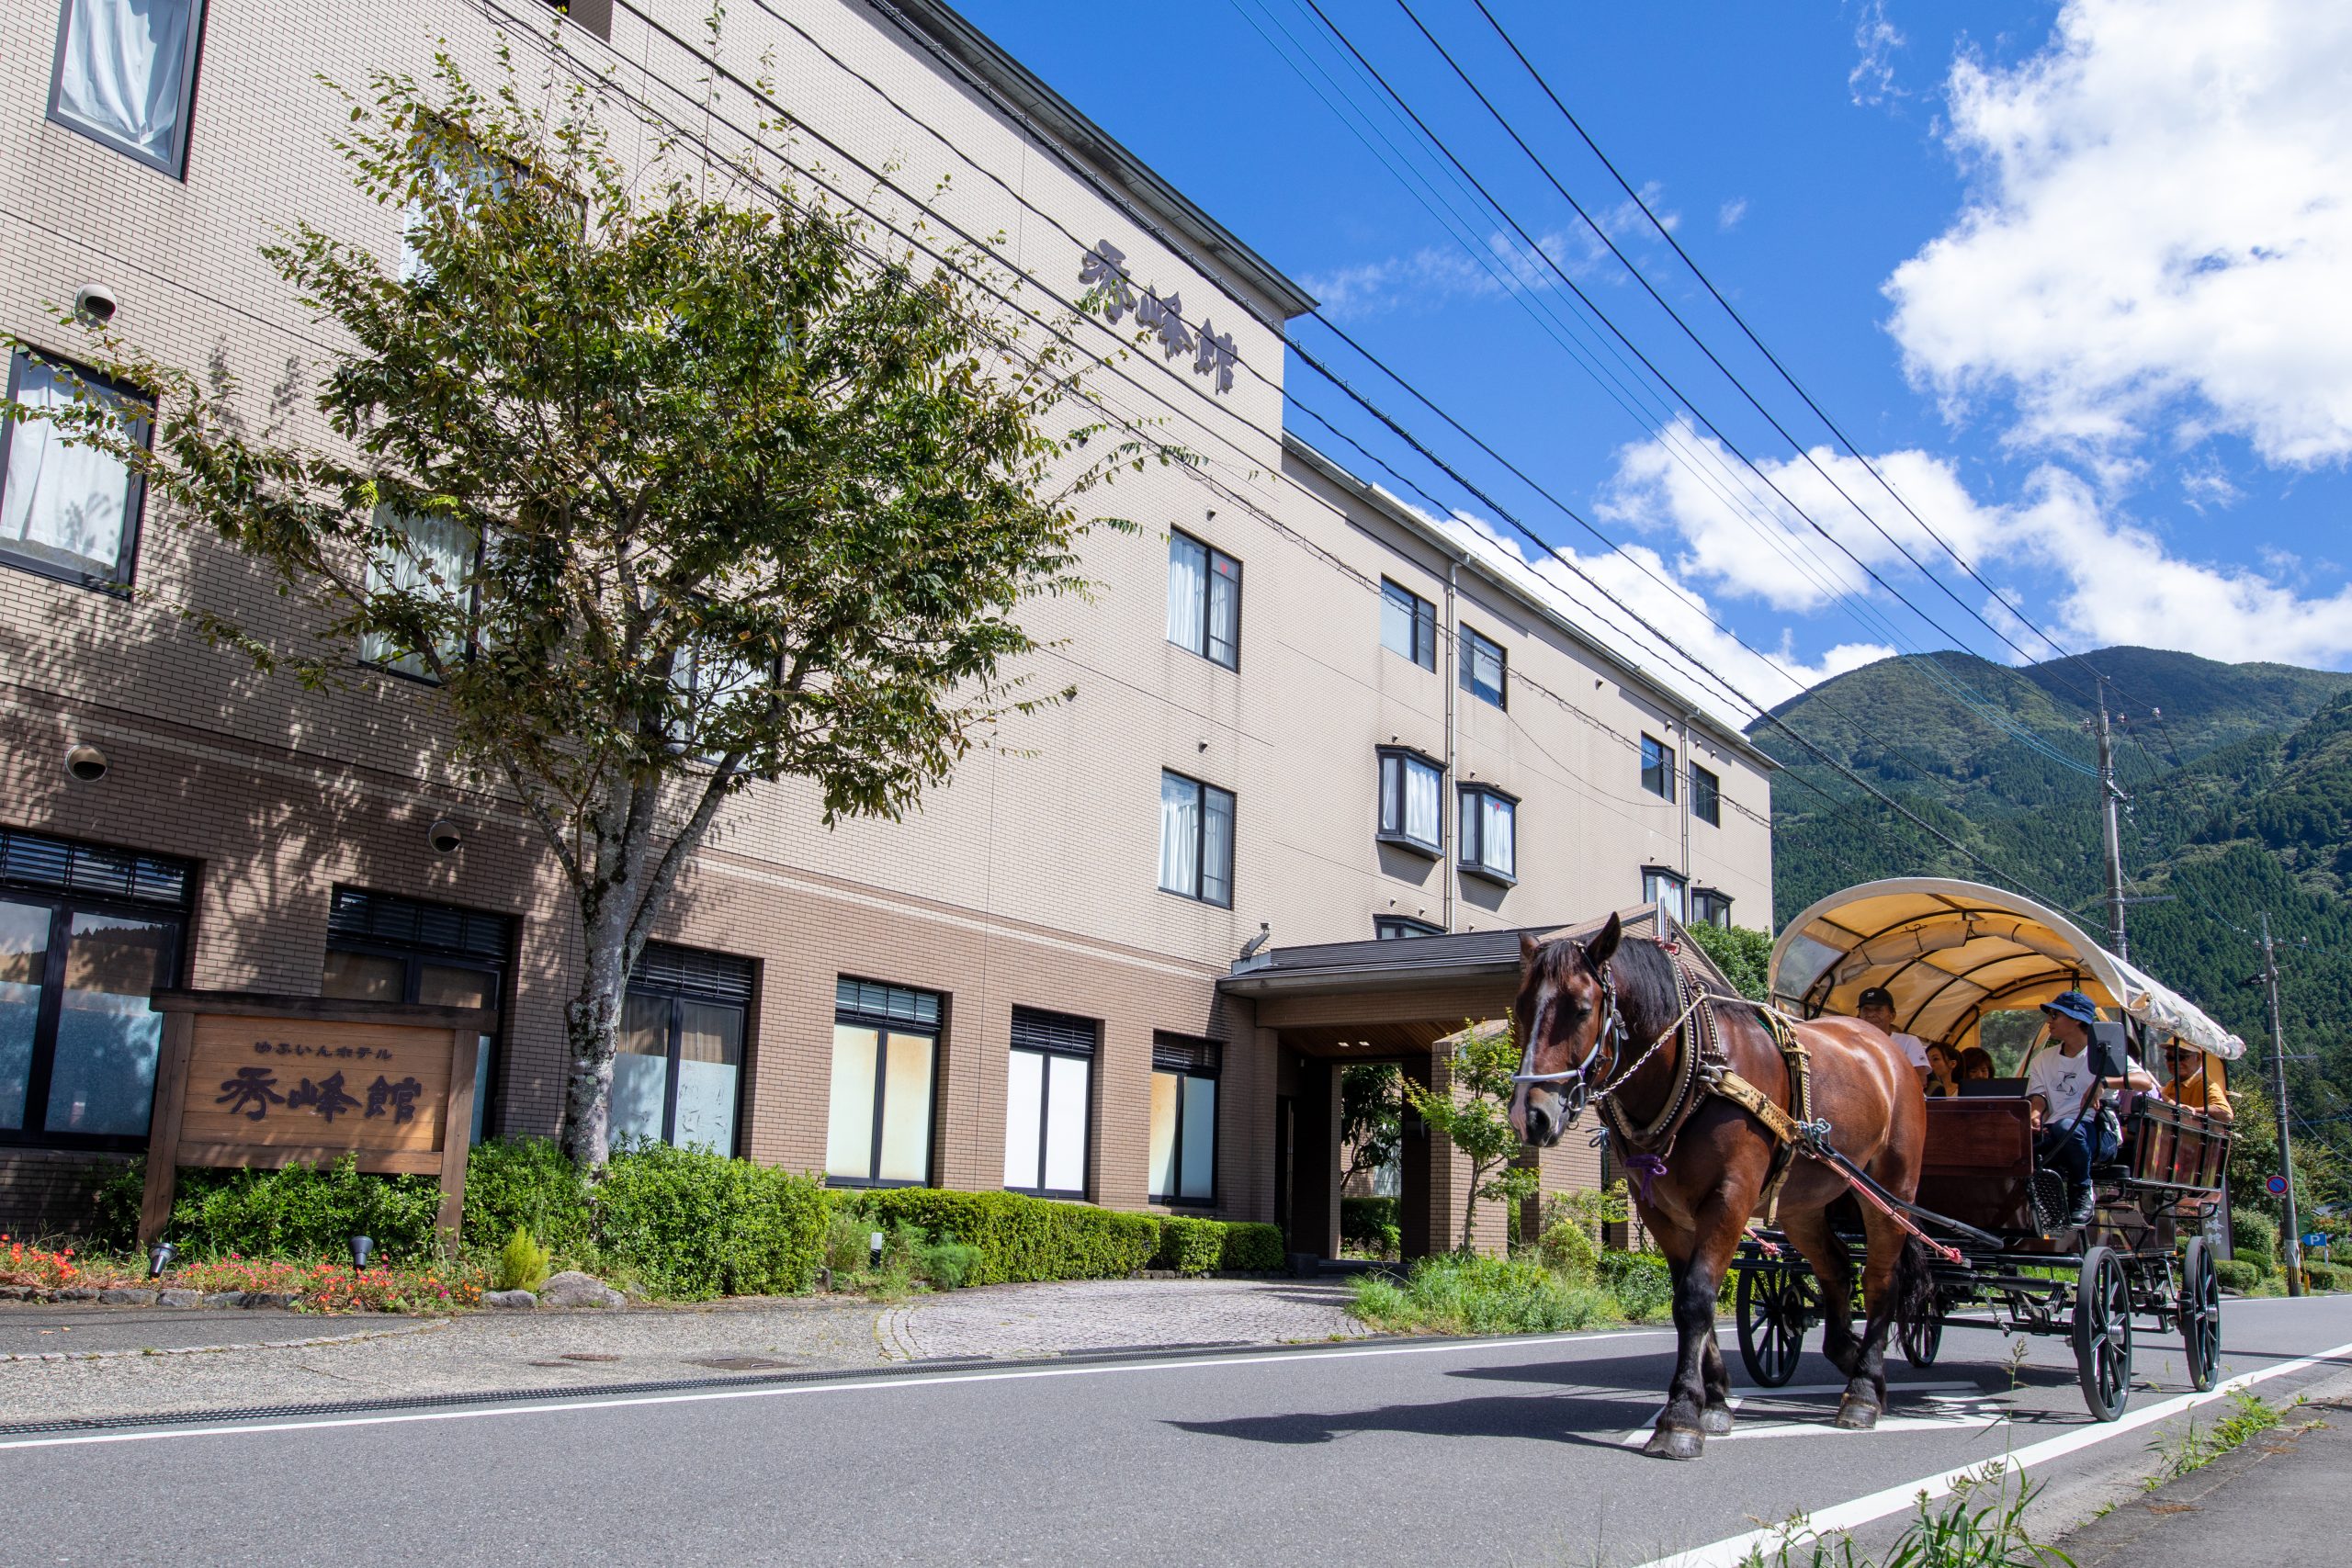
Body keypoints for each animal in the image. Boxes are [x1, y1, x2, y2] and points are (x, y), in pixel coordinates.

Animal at [1505, 911, 1928, 1466]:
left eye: (1580, 1010)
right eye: (1520, 1009)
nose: (1528, 1115)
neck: (1697, 1064)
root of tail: (1883, 1043)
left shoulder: (1731, 1196)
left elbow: (1697, 1297)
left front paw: (1682, 1414)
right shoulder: (1659, 1208)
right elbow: (1683, 1296)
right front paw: (1717, 1401)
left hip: (1890, 1185)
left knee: (1881, 1280)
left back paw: (1863, 1388)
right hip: (1802, 1202)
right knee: (1837, 1266)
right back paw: (1851, 1359)